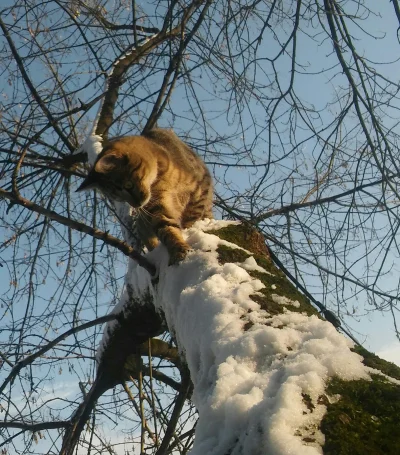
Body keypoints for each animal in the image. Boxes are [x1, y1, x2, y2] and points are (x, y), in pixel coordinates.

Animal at [76, 128, 212, 264]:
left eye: (128, 185)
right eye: (118, 198)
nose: (137, 204)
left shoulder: (199, 190)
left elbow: (193, 217)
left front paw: (192, 230)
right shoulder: (157, 207)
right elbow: (166, 228)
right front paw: (179, 250)